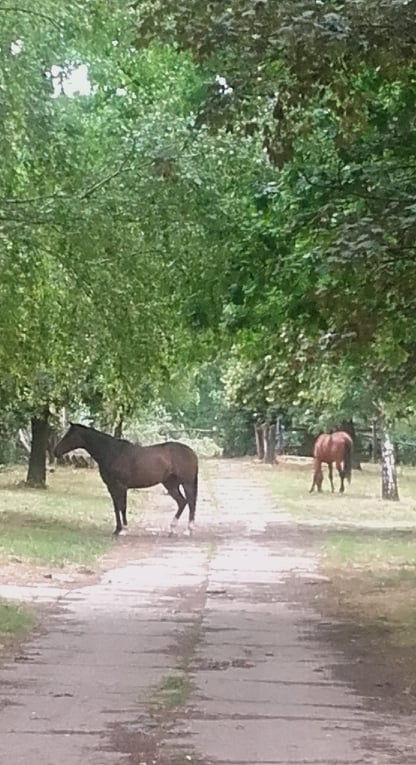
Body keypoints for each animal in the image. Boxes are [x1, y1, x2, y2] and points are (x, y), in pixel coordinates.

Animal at [54, 424, 198, 536]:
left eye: (69, 436)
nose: (55, 451)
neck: (113, 453)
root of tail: (191, 452)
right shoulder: (111, 487)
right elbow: (116, 507)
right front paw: (117, 529)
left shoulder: (121, 486)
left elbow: (122, 506)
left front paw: (124, 529)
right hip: (170, 484)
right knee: (182, 502)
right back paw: (172, 529)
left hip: (186, 483)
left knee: (190, 502)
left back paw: (188, 530)